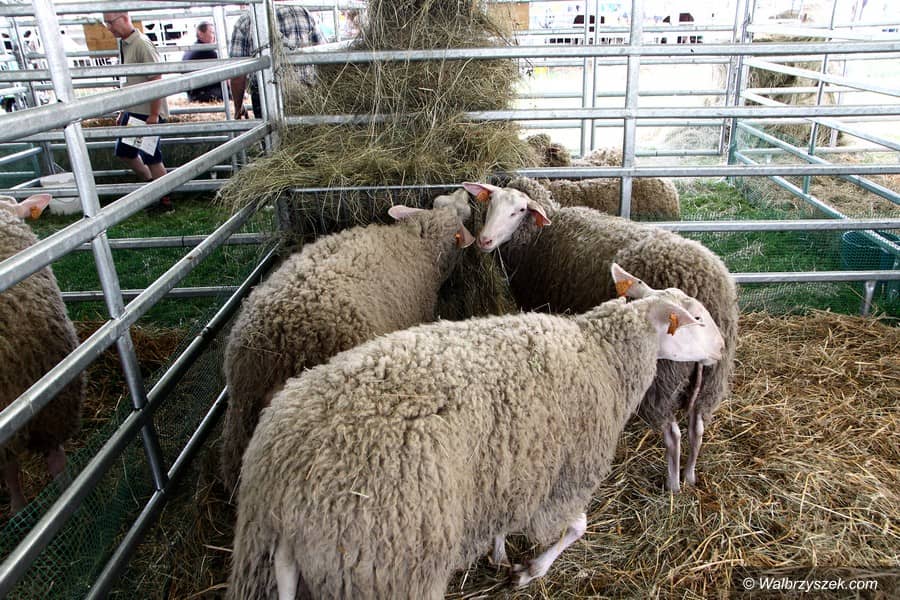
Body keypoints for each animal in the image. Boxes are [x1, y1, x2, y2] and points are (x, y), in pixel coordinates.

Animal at [227, 269, 726, 599]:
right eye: (697, 319)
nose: (721, 348)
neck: (602, 353)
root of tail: (283, 495)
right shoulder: (565, 477)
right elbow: (576, 527)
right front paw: (529, 571)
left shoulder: (511, 470)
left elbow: (504, 520)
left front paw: (501, 553)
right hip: (387, 567)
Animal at [467, 178, 738, 492]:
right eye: (491, 205)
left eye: (519, 210)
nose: (484, 241)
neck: (542, 235)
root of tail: (707, 285)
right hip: (712, 377)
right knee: (697, 426)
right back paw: (691, 477)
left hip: (664, 376)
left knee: (673, 433)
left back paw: (672, 485)